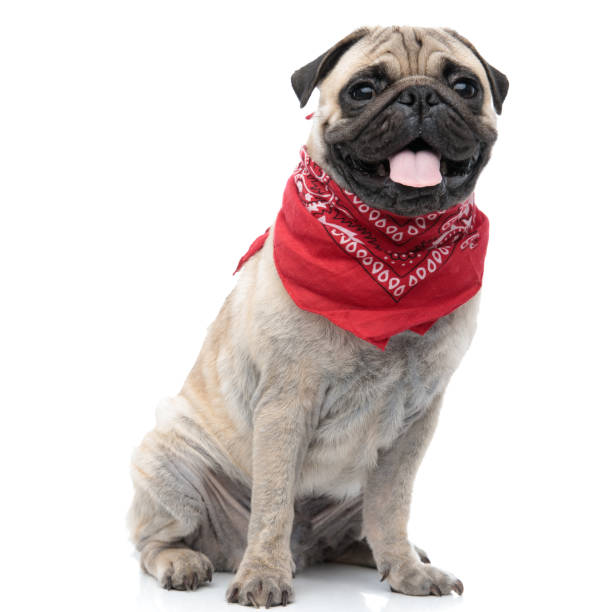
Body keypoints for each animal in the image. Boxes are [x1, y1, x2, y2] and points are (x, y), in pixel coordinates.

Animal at [128, 25, 506, 608]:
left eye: (465, 86)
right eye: (363, 90)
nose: (421, 96)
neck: (392, 246)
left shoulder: (415, 423)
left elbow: (392, 505)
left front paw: (405, 571)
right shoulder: (286, 406)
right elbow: (273, 502)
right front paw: (262, 574)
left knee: (366, 525)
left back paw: (394, 556)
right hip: (169, 464)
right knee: (155, 541)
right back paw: (185, 562)